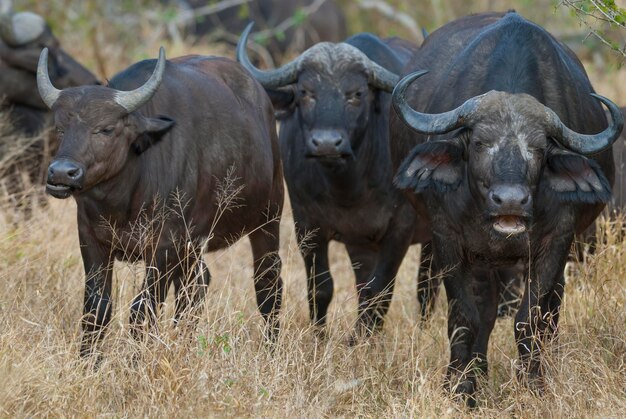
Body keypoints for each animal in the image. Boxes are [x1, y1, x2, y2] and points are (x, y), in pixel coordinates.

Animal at [236, 22, 426, 338]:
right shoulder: (307, 224)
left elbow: (380, 291)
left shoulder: (401, 229)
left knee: (427, 284)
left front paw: (360, 340)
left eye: (357, 93)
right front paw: (320, 336)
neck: (349, 187)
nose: (326, 143)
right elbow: (322, 287)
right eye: (306, 91)